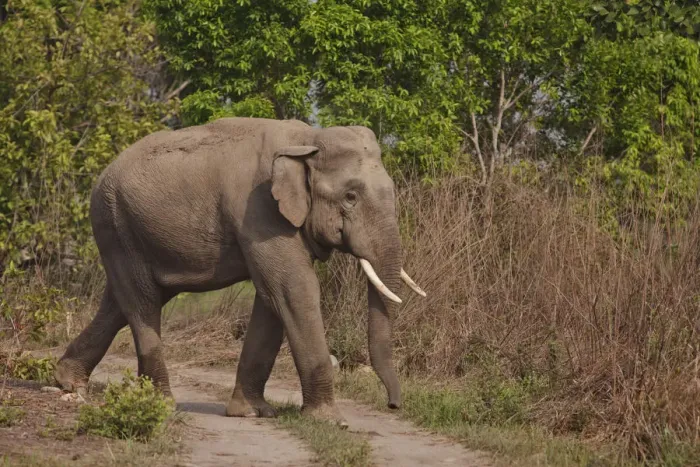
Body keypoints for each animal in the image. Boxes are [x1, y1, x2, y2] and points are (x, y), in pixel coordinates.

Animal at [54, 117, 425, 425]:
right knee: (142, 302)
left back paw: (67, 383)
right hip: (114, 223)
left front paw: (252, 413)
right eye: (350, 197)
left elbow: (272, 300)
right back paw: (159, 404)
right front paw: (330, 422)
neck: (307, 139)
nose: (393, 405)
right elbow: (293, 289)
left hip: (127, 231)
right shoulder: (260, 211)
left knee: (123, 301)